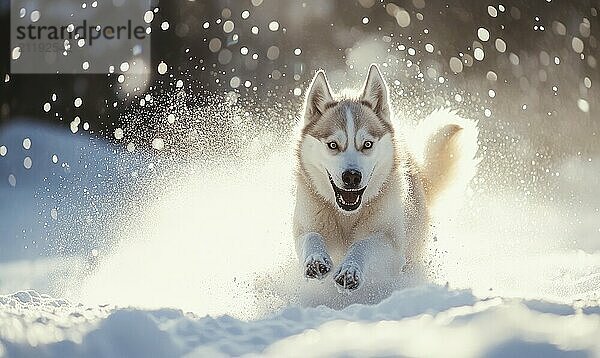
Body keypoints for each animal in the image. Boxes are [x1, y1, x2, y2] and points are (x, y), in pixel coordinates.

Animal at [292, 65, 478, 290]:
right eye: (333, 145)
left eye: (367, 144)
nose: (352, 177)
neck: (347, 216)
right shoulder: (305, 226)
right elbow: (311, 236)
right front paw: (316, 260)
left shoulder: (391, 246)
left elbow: (364, 244)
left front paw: (350, 269)